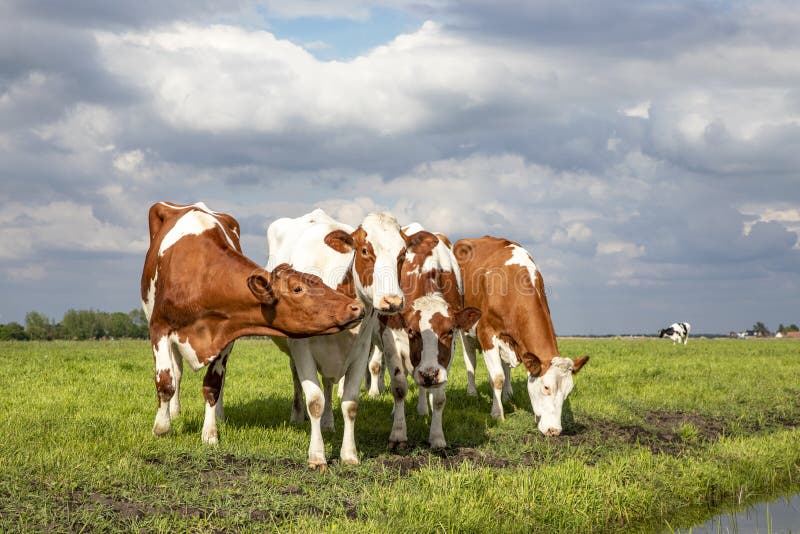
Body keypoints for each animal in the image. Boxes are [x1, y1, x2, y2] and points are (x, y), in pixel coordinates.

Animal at [142, 203, 364, 446]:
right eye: (297, 289)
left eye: (320, 281)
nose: (355, 306)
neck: (199, 278)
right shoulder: (159, 328)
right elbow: (165, 382)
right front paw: (161, 428)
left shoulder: (225, 334)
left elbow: (213, 385)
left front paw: (210, 433)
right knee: (177, 371)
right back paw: (173, 412)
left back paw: (219, 415)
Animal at [268, 209, 438, 468]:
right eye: (365, 250)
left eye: (402, 253)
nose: (392, 301)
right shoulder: (302, 350)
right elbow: (314, 401)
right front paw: (317, 455)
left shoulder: (360, 352)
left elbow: (349, 404)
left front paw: (349, 454)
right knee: (297, 379)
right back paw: (297, 415)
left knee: (328, 384)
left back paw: (328, 424)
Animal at [370, 224, 482, 450]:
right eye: (412, 331)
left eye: (448, 332)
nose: (429, 375)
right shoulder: (391, 339)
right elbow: (399, 388)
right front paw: (398, 434)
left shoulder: (448, 352)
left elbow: (438, 397)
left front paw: (437, 437)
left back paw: (422, 409)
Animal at [454, 239, 592, 440]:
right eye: (546, 387)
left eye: (568, 391)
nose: (554, 431)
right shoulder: (487, 333)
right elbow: (497, 378)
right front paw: (497, 414)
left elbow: (504, 372)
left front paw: (504, 399)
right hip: (465, 330)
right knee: (470, 359)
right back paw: (472, 393)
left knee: (505, 366)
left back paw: (507, 395)